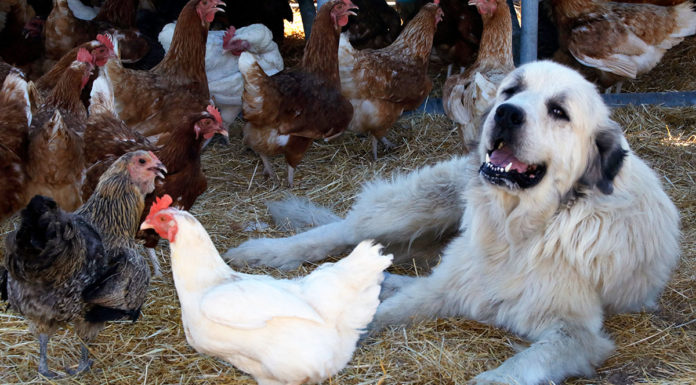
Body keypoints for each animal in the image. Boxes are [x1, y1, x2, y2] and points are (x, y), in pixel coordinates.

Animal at [227, 61, 680, 382]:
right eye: (511, 90)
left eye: (558, 111)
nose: (506, 113)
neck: (515, 233)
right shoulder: (447, 287)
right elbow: (382, 313)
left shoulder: (578, 334)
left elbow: (526, 362)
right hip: (419, 205)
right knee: (345, 231)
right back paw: (264, 252)